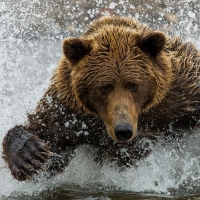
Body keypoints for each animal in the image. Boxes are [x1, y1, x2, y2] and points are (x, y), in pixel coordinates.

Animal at [1, 16, 200, 181]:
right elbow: (40, 128)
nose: (123, 130)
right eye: (104, 87)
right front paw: (30, 156)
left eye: (133, 85)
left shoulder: (181, 91)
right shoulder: (67, 113)